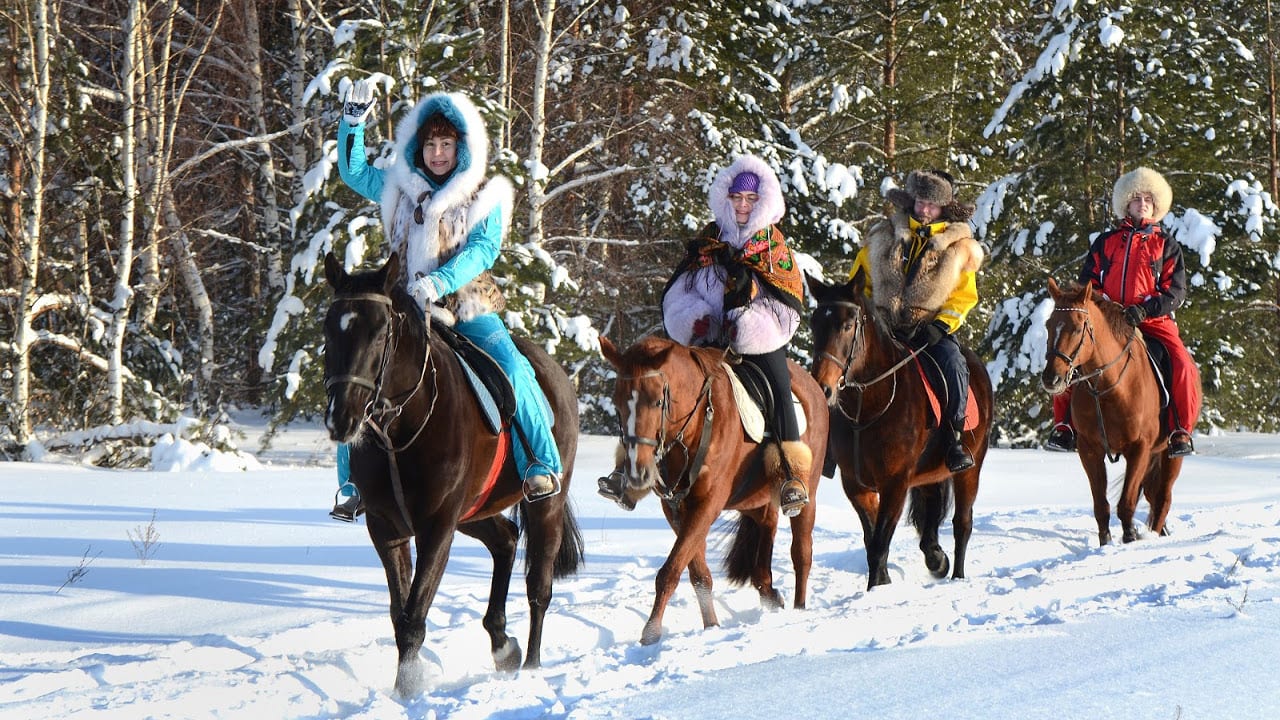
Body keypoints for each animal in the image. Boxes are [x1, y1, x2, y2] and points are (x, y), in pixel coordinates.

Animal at [322, 253, 583, 696]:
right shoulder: (387, 529)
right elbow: (400, 614)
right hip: (474, 511)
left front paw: (407, 691)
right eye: (328, 328)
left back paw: (530, 666)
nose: (342, 418)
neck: (401, 429)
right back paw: (502, 645)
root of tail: (558, 375)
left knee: (539, 588)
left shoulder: (437, 527)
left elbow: (413, 618)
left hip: (545, 503)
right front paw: (405, 689)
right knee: (506, 539)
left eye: (379, 332)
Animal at [593, 335, 824, 645]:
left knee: (802, 553)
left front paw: (651, 632)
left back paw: (799, 609)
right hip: (756, 502)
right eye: (617, 404)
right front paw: (711, 625)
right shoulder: (676, 509)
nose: (637, 472)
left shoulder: (707, 504)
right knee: (766, 536)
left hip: (807, 493)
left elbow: (670, 570)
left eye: (657, 401)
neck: (694, 427)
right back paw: (770, 595)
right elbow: (698, 572)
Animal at [803, 269, 993, 589]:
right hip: (929, 473)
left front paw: (877, 589)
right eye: (814, 323)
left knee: (962, 525)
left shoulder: (895, 484)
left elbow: (879, 545)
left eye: (847, 325)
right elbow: (871, 542)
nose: (823, 388)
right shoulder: (856, 486)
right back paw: (936, 558)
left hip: (971, 469)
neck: (869, 406)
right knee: (932, 512)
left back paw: (956, 575)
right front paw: (882, 583)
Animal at [1044, 279, 1182, 543]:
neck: (1109, 389)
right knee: (1152, 495)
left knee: (1163, 499)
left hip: (1169, 456)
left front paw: (1129, 539)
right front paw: (1105, 543)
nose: (1051, 378)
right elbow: (1102, 506)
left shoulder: (1139, 448)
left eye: (1077, 328)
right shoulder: (1089, 449)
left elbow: (1126, 504)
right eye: (1048, 325)